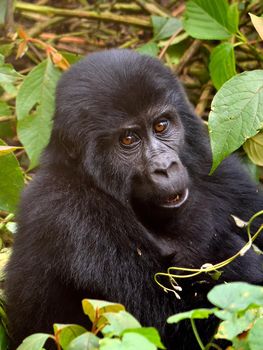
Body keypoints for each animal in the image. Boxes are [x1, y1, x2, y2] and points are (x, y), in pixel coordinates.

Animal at [4, 49, 263, 350]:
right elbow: (169, 323)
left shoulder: (212, 164)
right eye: (128, 139)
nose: (165, 167)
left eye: (161, 125)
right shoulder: (65, 211)